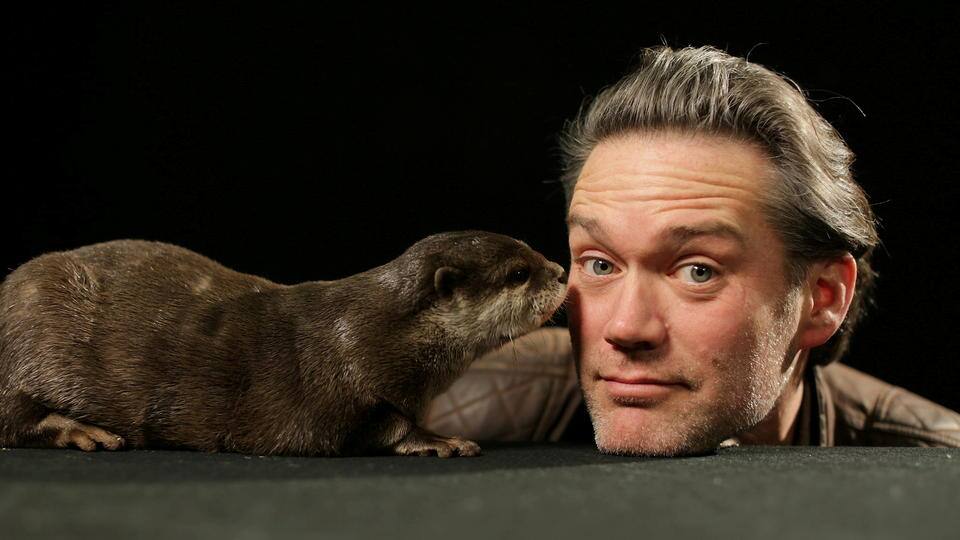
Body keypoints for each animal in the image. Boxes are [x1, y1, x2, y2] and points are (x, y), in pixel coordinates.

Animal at [0, 232, 567, 457]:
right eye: (519, 273)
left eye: (534, 253)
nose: (561, 270)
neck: (372, 333)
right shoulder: (326, 394)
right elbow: (377, 427)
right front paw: (438, 439)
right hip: (32, 327)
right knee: (13, 418)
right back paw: (82, 431)